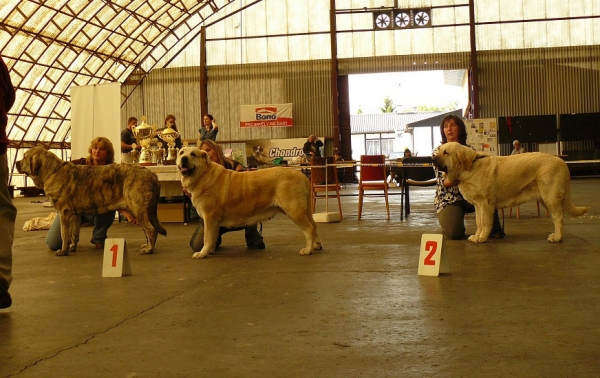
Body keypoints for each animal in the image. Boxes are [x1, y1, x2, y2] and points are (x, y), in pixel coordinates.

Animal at [16, 146, 166, 255]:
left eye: (24, 157)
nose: (16, 163)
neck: (52, 171)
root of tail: (152, 174)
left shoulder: (64, 213)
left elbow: (64, 234)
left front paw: (63, 251)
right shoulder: (75, 215)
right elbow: (74, 233)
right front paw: (72, 247)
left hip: (138, 208)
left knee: (150, 229)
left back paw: (149, 250)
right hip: (147, 211)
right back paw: (148, 246)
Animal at [176, 146, 322, 258]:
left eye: (193, 154)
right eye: (181, 153)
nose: (184, 158)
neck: (203, 175)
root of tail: (301, 175)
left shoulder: (210, 217)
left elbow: (207, 237)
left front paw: (202, 253)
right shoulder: (212, 222)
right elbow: (212, 237)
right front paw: (210, 250)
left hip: (294, 210)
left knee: (309, 229)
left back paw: (307, 250)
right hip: (304, 211)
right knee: (314, 226)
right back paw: (317, 245)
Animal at [434, 142, 588, 242]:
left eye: (446, 153)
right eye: (438, 151)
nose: (432, 158)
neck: (470, 166)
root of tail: (562, 162)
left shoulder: (486, 204)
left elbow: (485, 222)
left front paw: (482, 238)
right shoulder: (478, 205)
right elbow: (478, 222)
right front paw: (477, 236)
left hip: (550, 197)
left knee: (558, 217)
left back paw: (557, 237)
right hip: (545, 199)